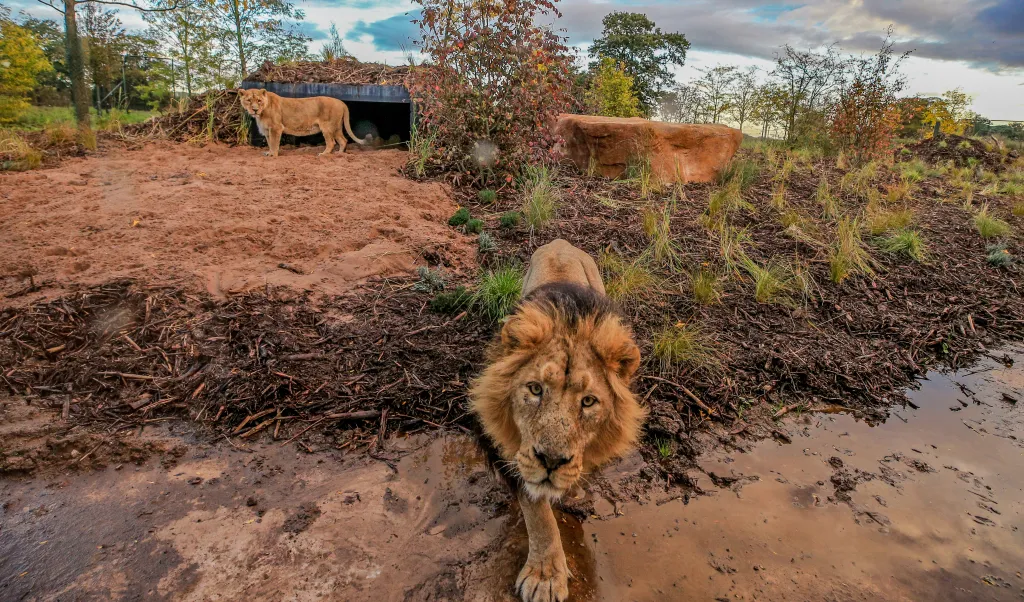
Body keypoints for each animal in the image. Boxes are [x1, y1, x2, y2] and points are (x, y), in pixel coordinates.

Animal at [236, 88, 365, 157]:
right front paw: (269, 153)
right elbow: (269, 143)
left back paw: (324, 154)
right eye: (249, 100)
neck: (262, 112)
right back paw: (339, 154)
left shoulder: (276, 128)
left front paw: (274, 155)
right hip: (336, 127)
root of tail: (341, 102)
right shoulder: (267, 130)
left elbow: (274, 143)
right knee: (343, 140)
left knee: (331, 142)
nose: (255, 109)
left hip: (327, 127)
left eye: (259, 100)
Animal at [470, 238, 645, 602]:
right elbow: (537, 511)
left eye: (588, 401)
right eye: (535, 389)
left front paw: (573, 488)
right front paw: (545, 574)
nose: (550, 461)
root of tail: (560, 242)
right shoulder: (514, 454)